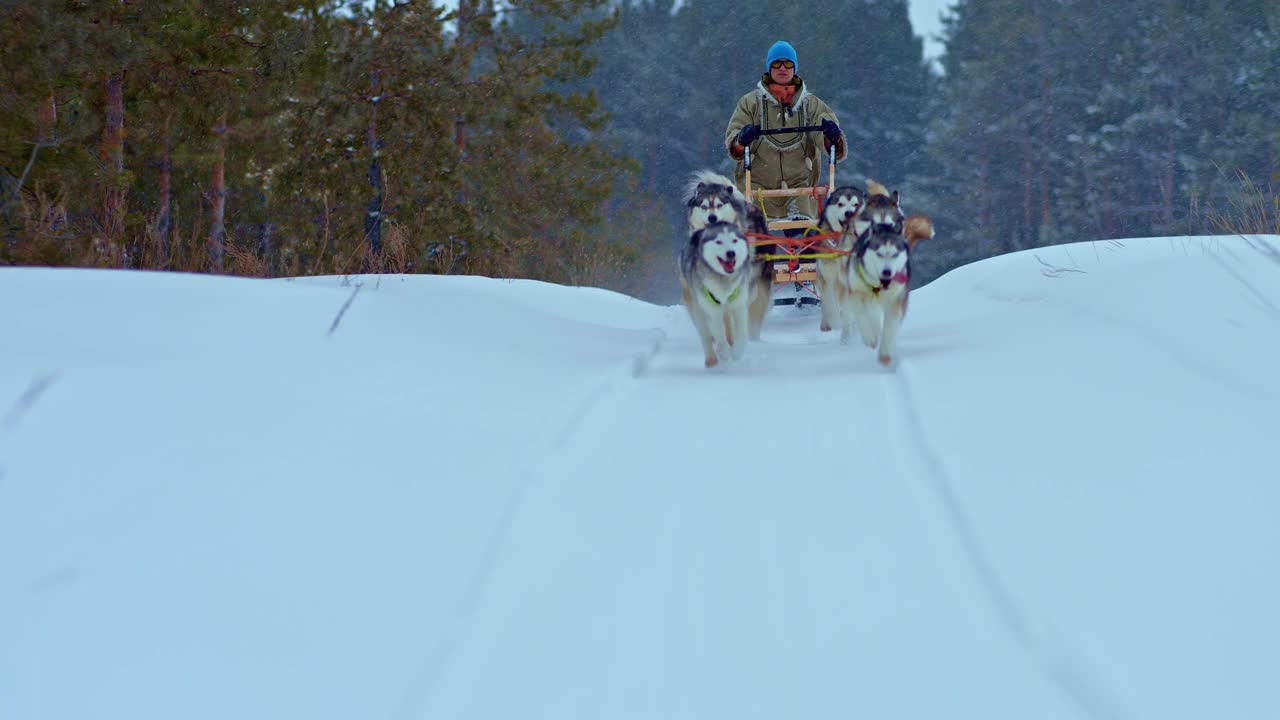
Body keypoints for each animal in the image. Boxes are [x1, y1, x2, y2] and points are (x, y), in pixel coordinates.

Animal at [675, 221, 752, 366]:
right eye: (718, 242)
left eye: (734, 240)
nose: (731, 253)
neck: (724, 280)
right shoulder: (712, 310)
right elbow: (719, 334)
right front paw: (724, 352)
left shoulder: (739, 306)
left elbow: (742, 332)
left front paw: (737, 352)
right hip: (697, 311)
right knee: (706, 336)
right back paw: (711, 359)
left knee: (728, 328)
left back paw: (731, 343)